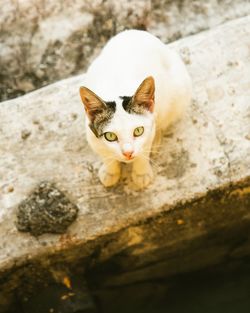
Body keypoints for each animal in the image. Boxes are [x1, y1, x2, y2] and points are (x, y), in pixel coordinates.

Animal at [79, 29, 191, 188]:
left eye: (138, 131)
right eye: (110, 136)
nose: (128, 153)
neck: (116, 88)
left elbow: (143, 151)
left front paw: (141, 173)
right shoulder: (92, 137)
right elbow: (106, 155)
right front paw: (110, 171)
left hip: (179, 93)